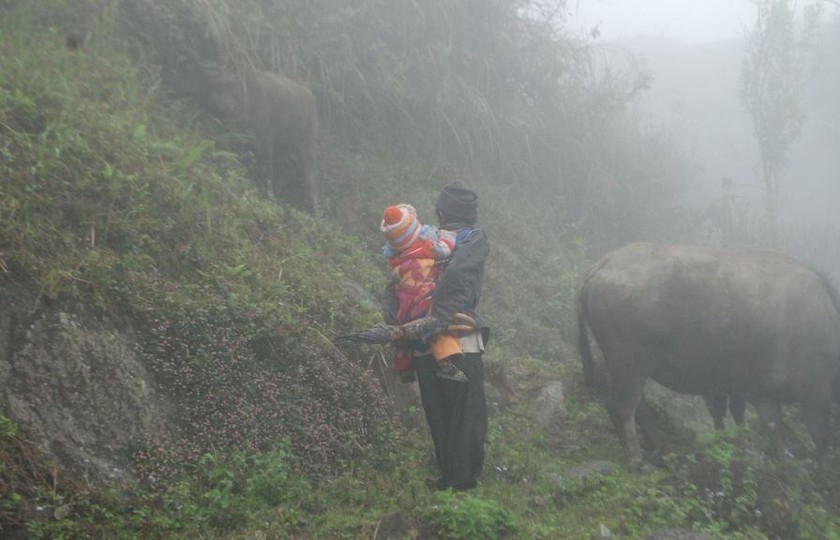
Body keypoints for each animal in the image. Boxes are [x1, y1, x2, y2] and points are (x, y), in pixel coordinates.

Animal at [576, 243, 840, 466]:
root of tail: (603, 263)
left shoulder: (761, 392)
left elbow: (775, 431)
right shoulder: (814, 390)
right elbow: (820, 436)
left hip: (628, 368)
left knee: (639, 408)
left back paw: (662, 450)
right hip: (629, 364)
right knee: (621, 408)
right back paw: (637, 461)